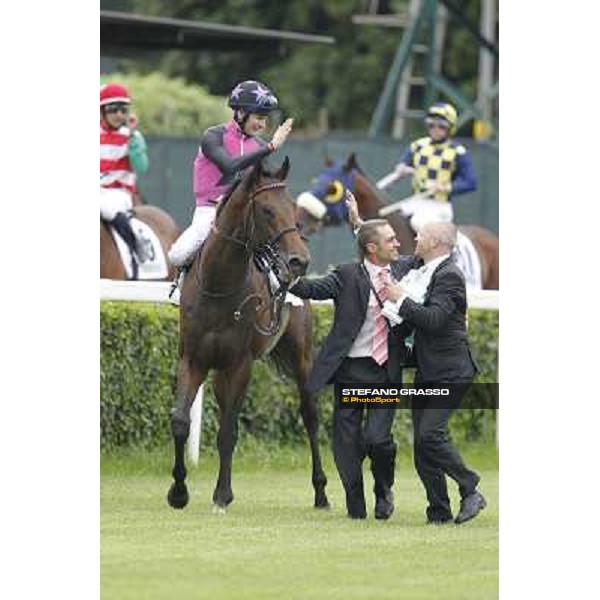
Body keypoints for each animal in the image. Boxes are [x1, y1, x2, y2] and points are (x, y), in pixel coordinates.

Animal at [168, 156, 328, 510]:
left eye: (293, 208)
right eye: (267, 209)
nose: (299, 261)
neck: (218, 285)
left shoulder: (240, 364)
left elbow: (228, 431)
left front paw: (222, 495)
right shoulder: (193, 359)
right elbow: (181, 421)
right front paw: (178, 492)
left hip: (302, 356)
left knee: (310, 416)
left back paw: (321, 492)